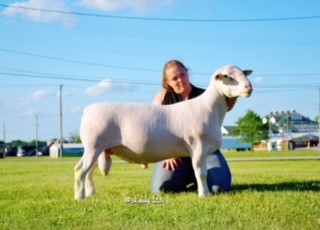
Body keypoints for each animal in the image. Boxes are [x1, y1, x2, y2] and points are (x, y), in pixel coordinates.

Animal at [75, 64, 252, 199]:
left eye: (243, 73)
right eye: (228, 76)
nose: (249, 87)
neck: (209, 107)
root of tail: (87, 110)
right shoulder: (198, 146)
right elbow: (201, 173)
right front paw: (204, 195)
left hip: (98, 149)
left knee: (89, 173)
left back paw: (91, 194)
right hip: (93, 146)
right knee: (80, 170)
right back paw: (79, 197)